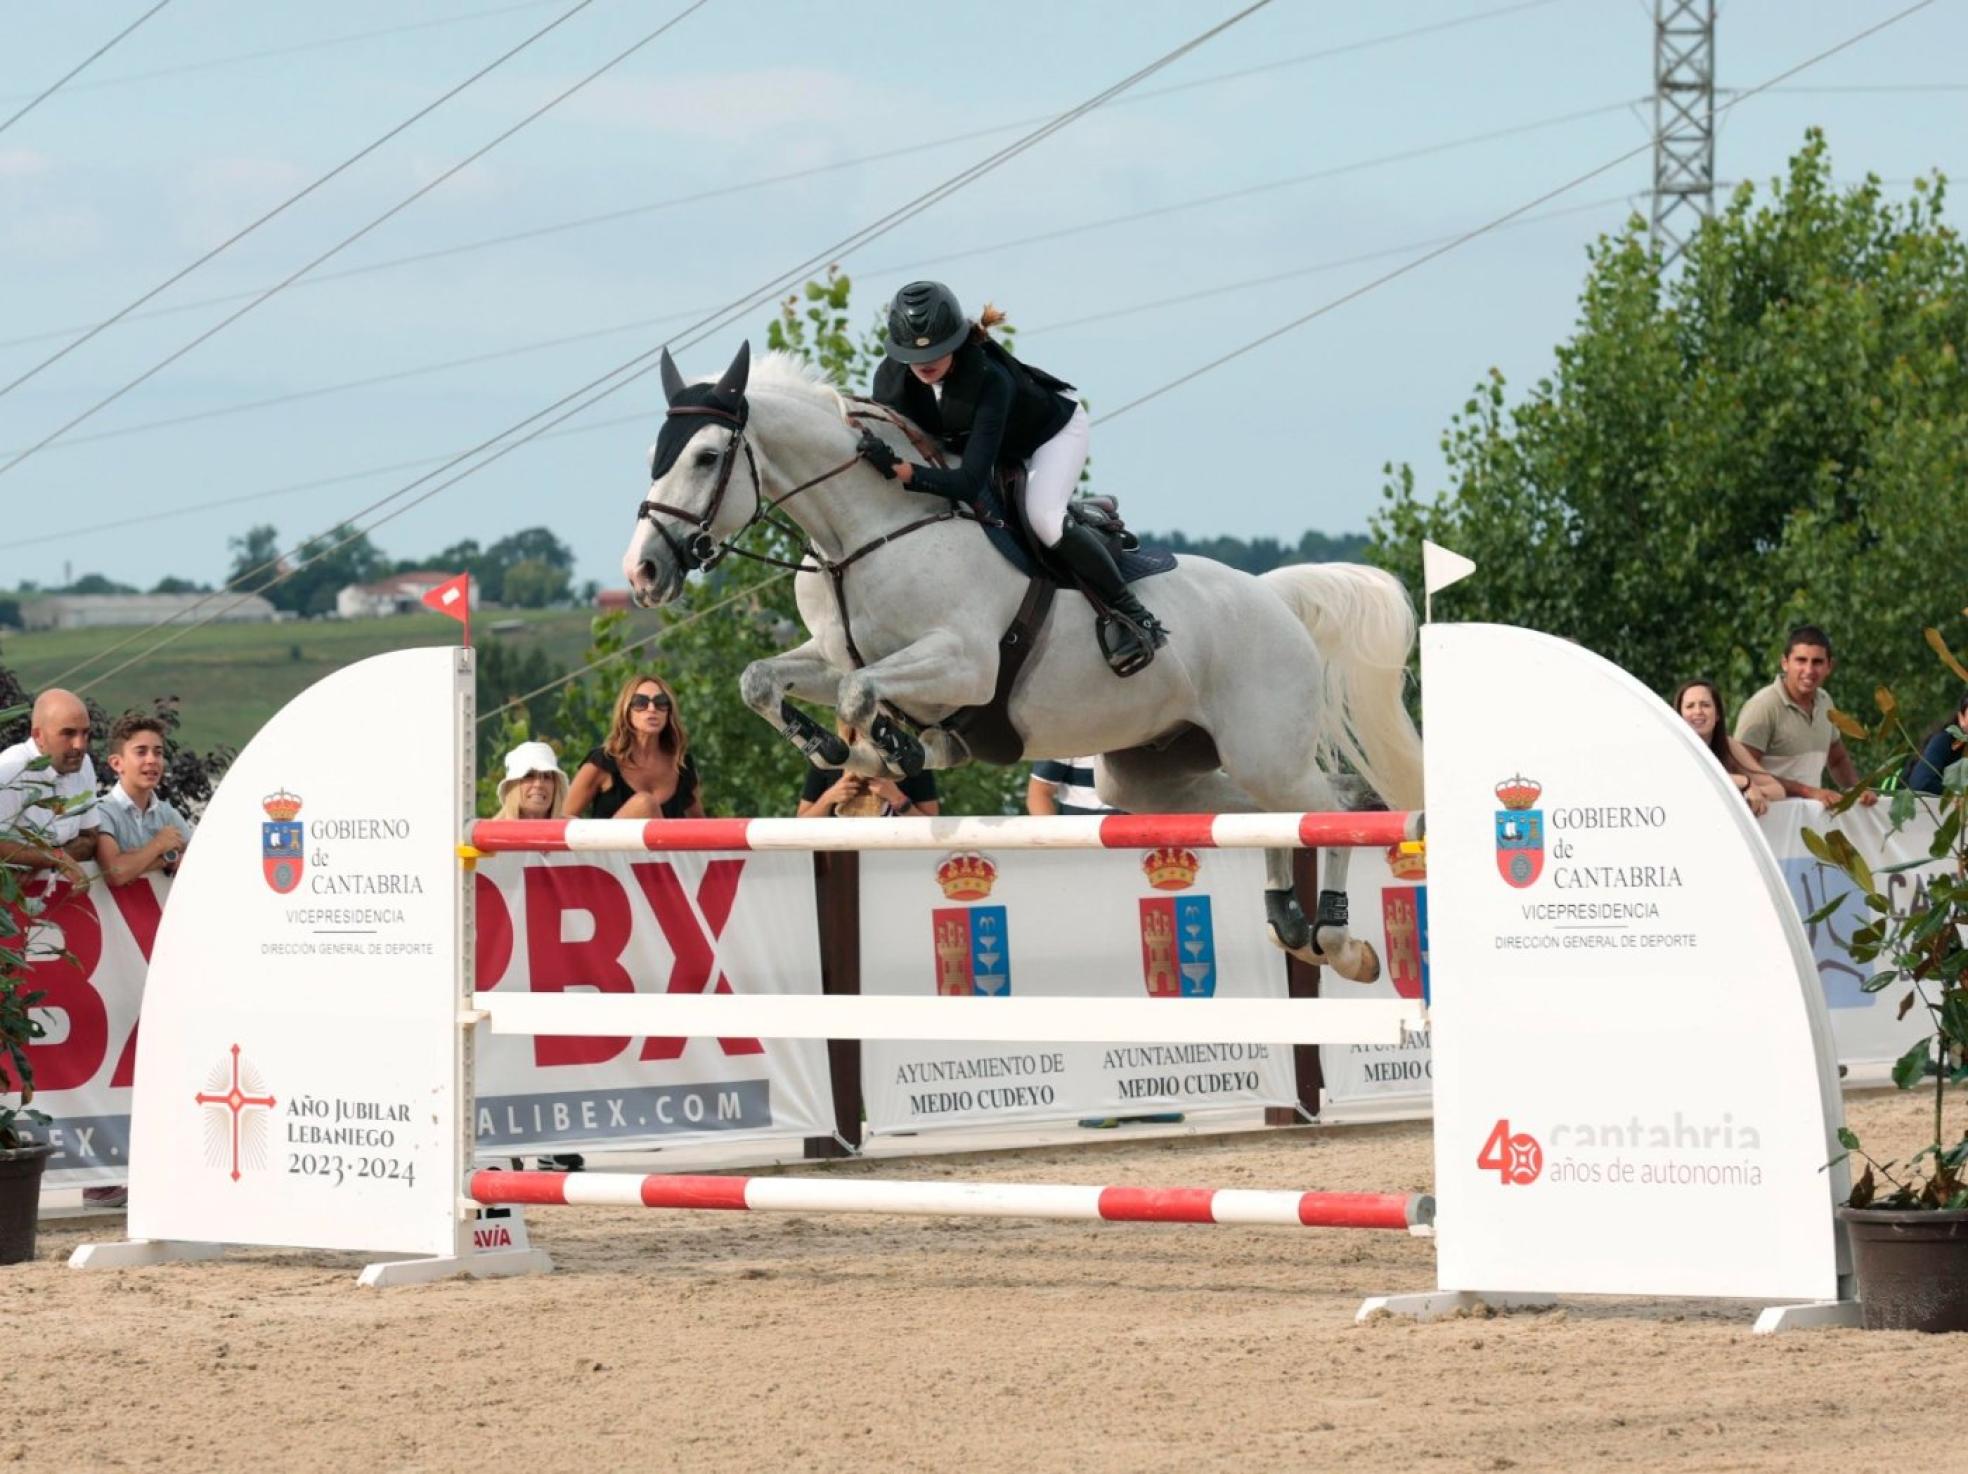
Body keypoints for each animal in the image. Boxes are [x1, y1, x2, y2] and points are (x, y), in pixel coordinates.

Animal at [621, 338, 1424, 972]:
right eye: (653, 457)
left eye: (708, 456)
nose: (643, 572)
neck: (864, 533)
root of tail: (1274, 598)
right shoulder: (831, 653)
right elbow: (764, 680)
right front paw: (837, 747)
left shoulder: (965, 664)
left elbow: (862, 693)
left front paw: (894, 749)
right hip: (1155, 777)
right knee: (1276, 815)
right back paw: (1290, 922)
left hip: (1265, 749)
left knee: (1333, 806)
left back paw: (1339, 940)